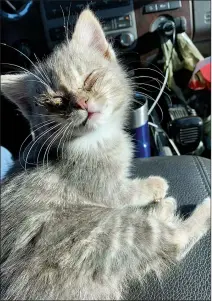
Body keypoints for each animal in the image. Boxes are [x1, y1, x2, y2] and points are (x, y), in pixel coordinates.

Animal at [0, 9, 210, 300]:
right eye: (56, 101)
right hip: (99, 232)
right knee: (171, 240)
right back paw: (185, 207)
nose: (82, 103)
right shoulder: (105, 190)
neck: (93, 140)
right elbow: (130, 191)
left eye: (89, 79)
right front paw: (154, 185)